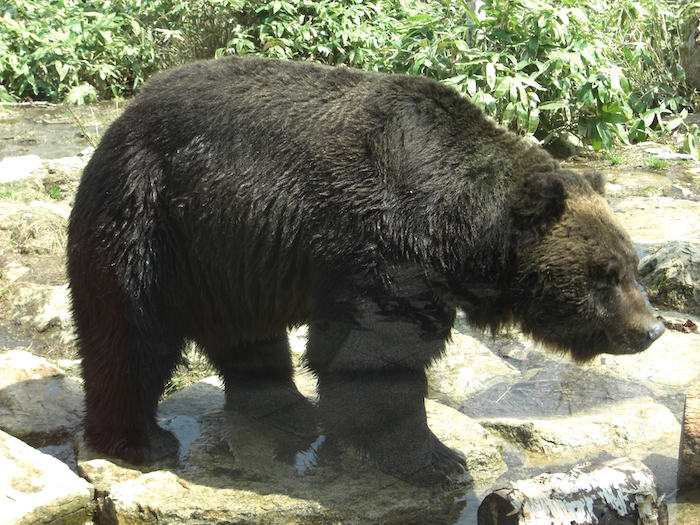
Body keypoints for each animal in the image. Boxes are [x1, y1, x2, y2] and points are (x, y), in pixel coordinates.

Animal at [67, 56, 664, 486]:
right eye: (604, 275)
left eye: (633, 266)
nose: (652, 328)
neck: (459, 229)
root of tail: (126, 115)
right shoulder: (385, 242)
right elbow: (378, 356)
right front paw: (438, 460)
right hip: (147, 215)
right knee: (129, 329)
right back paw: (139, 441)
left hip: (228, 247)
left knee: (245, 333)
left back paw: (286, 409)